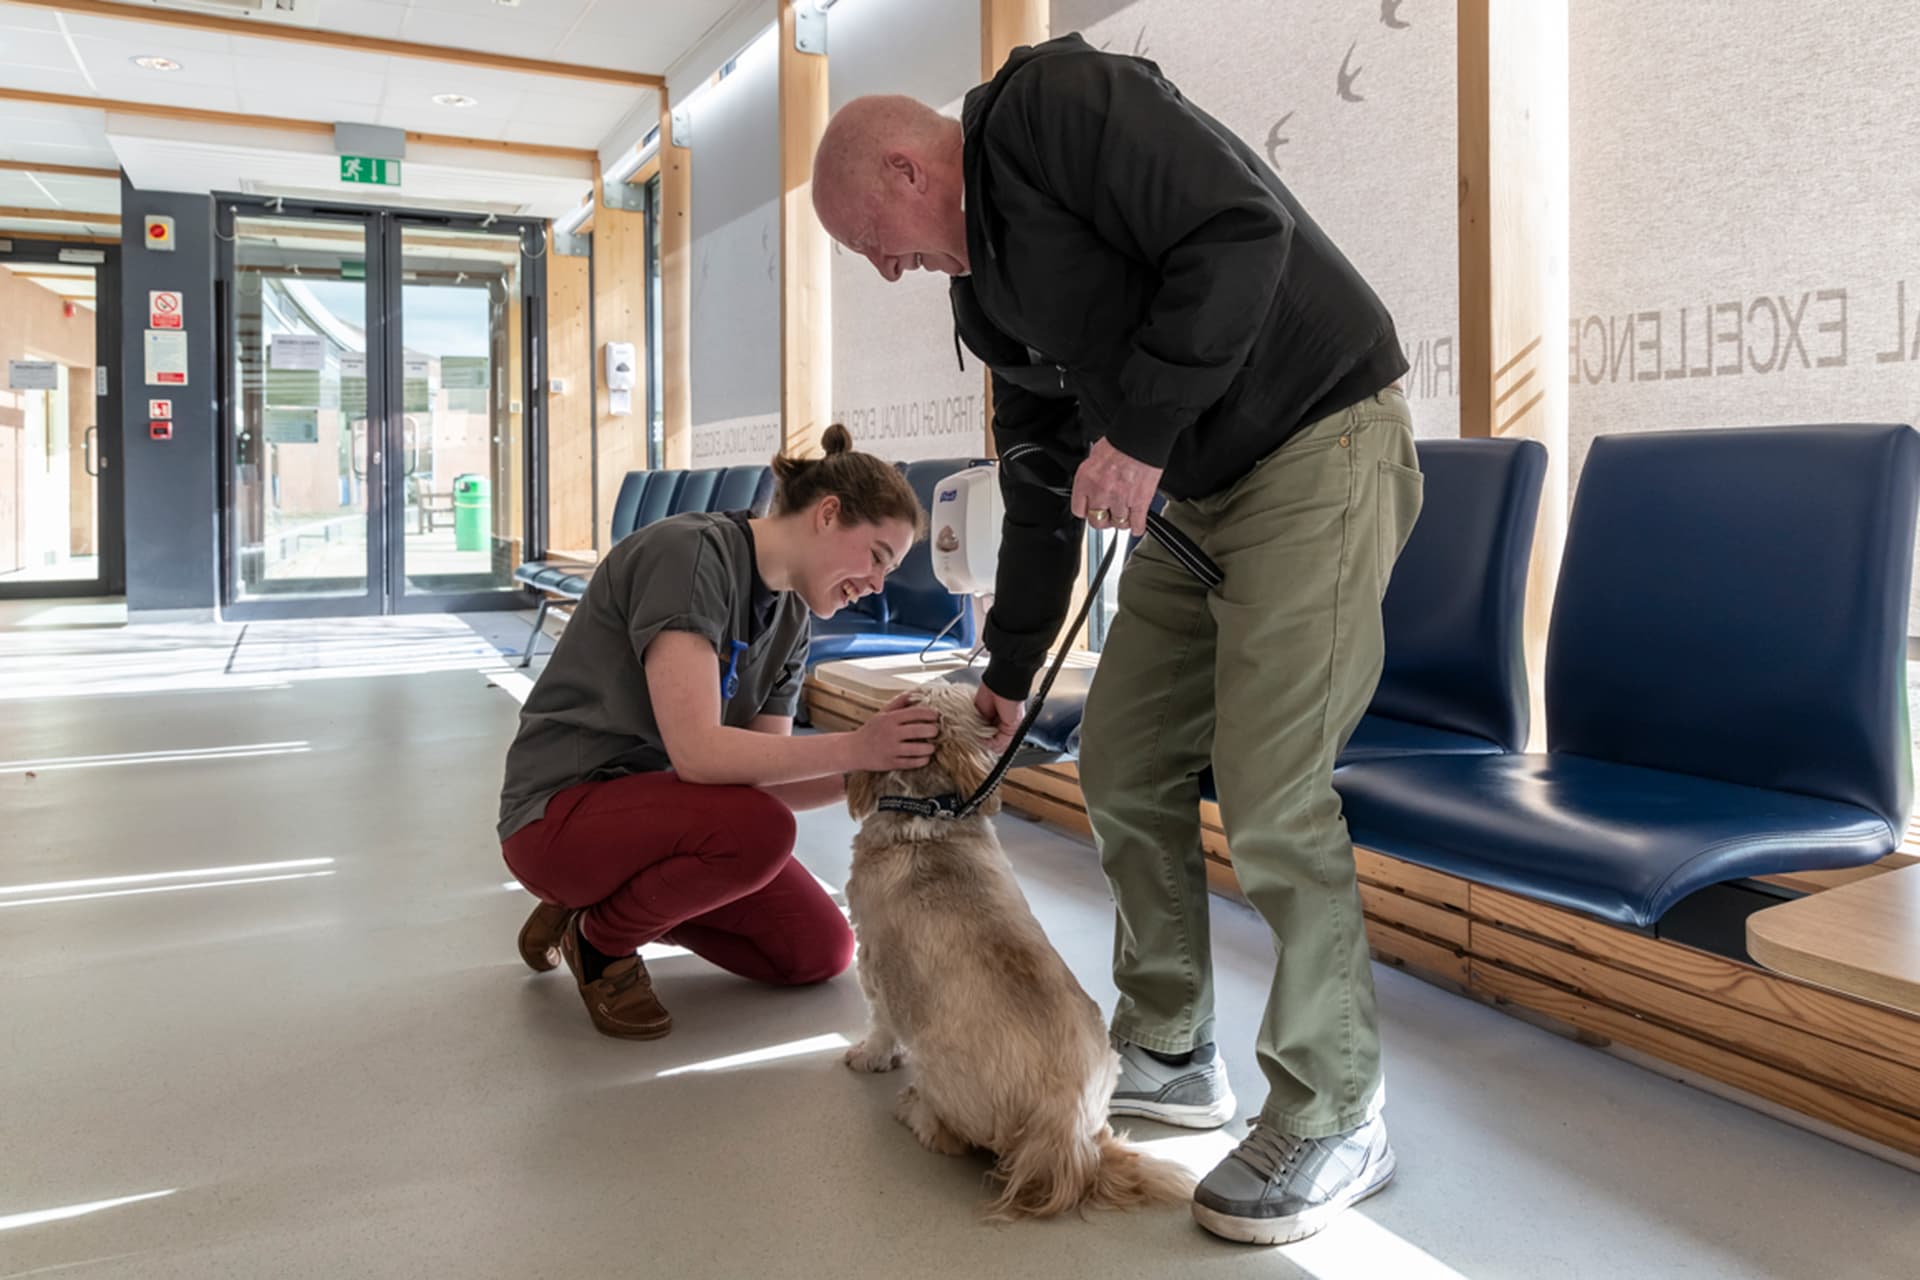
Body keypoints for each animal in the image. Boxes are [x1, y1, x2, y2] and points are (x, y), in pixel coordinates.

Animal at [844, 679, 1190, 1220]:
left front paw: (870, 1055)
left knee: (951, 1139)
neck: (929, 816)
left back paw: (915, 1111)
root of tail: (1067, 1135)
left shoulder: (874, 962)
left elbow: (879, 1026)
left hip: (937, 1064)